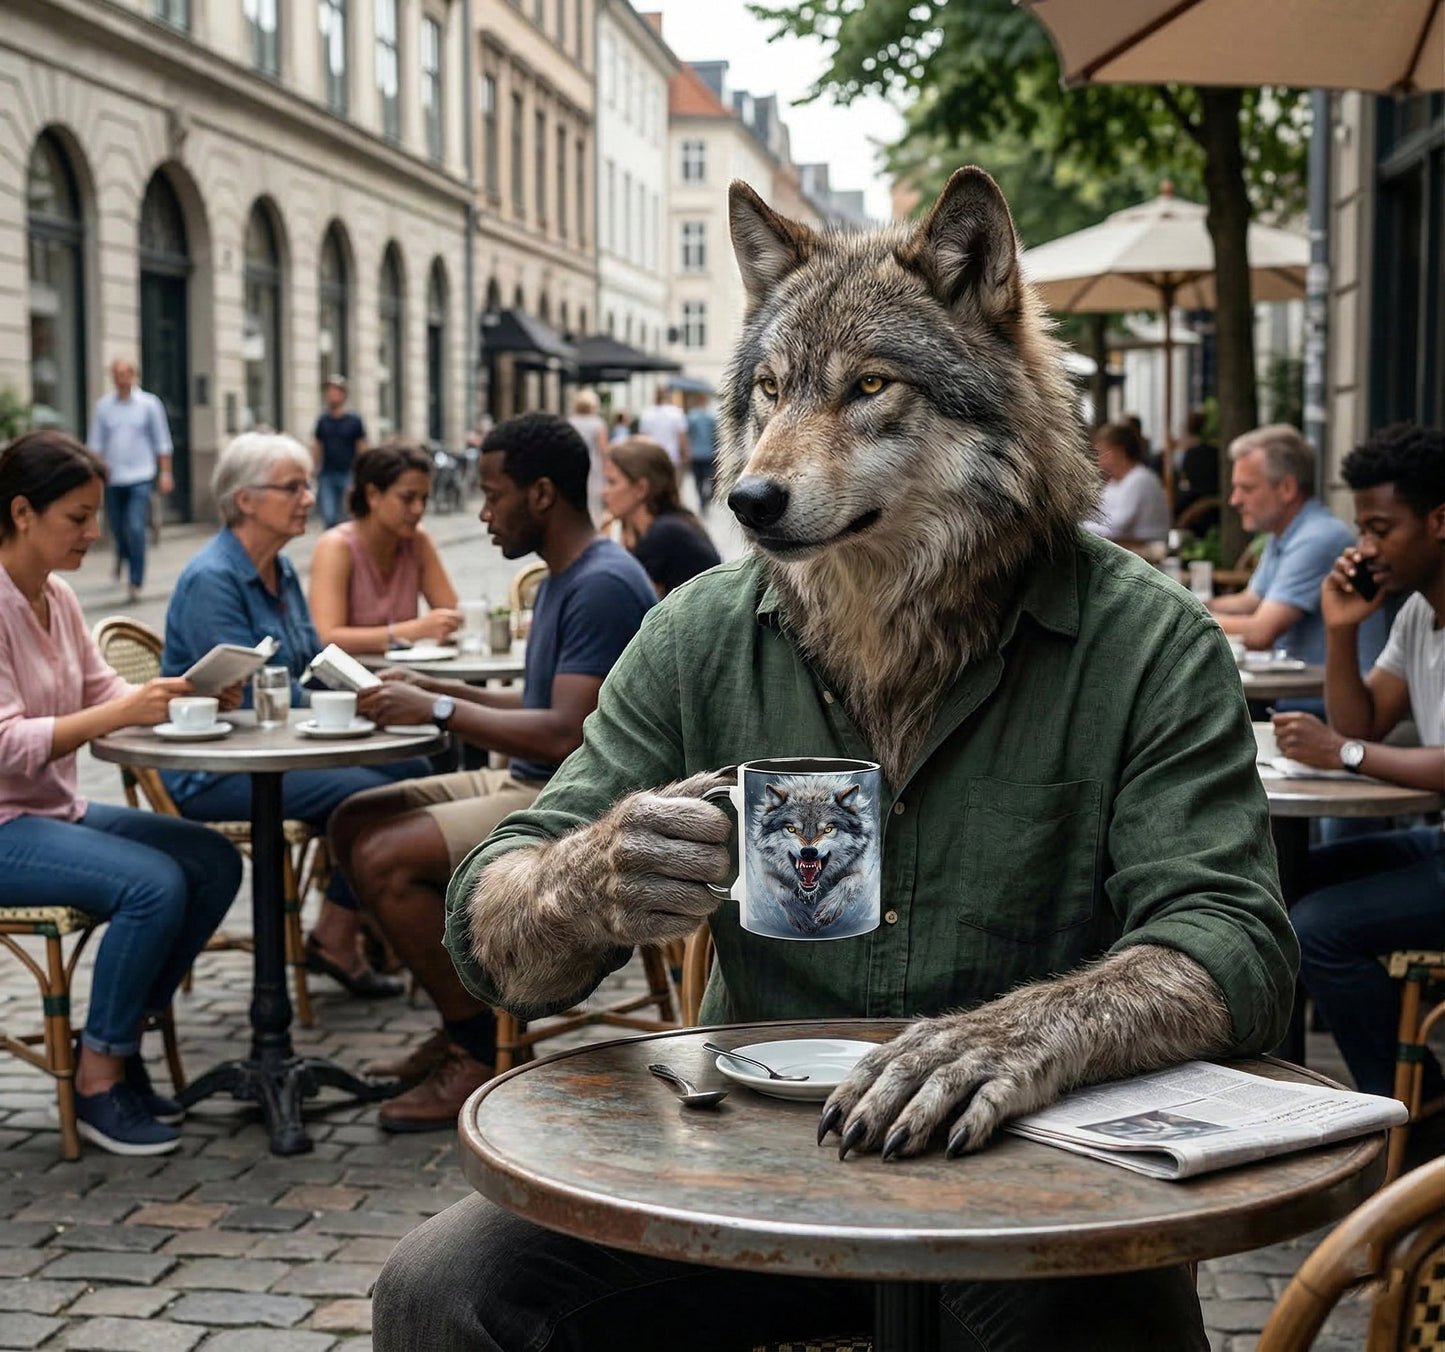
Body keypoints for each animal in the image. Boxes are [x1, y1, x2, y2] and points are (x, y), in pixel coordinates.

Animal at [749, 776, 875, 935]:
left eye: (828, 829)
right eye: (791, 829)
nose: (808, 851)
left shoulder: (860, 872)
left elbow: (847, 882)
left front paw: (829, 909)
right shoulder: (764, 873)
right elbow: (781, 889)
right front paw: (800, 916)